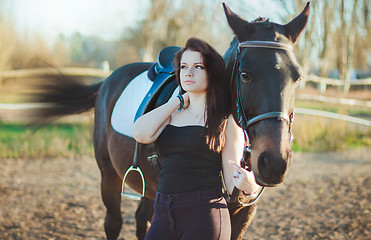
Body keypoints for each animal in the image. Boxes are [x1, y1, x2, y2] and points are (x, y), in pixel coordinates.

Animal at [23, 2, 310, 240]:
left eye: (297, 77)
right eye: (244, 75)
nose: (274, 162)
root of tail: (109, 80)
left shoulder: (244, 213)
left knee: (143, 221)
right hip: (109, 177)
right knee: (114, 223)